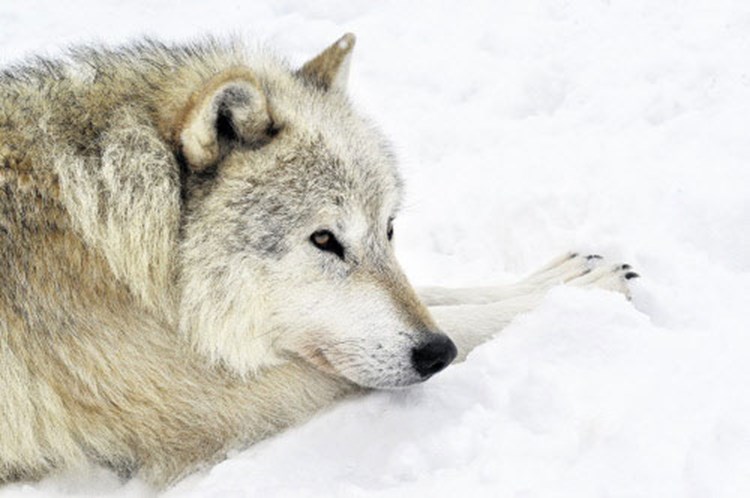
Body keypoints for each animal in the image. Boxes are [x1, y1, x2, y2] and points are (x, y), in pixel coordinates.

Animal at [0, 34, 640, 486]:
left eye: (389, 230)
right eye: (325, 240)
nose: (434, 354)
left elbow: (445, 296)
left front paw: (569, 274)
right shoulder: (226, 398)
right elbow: (468, 321)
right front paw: (583, 292)